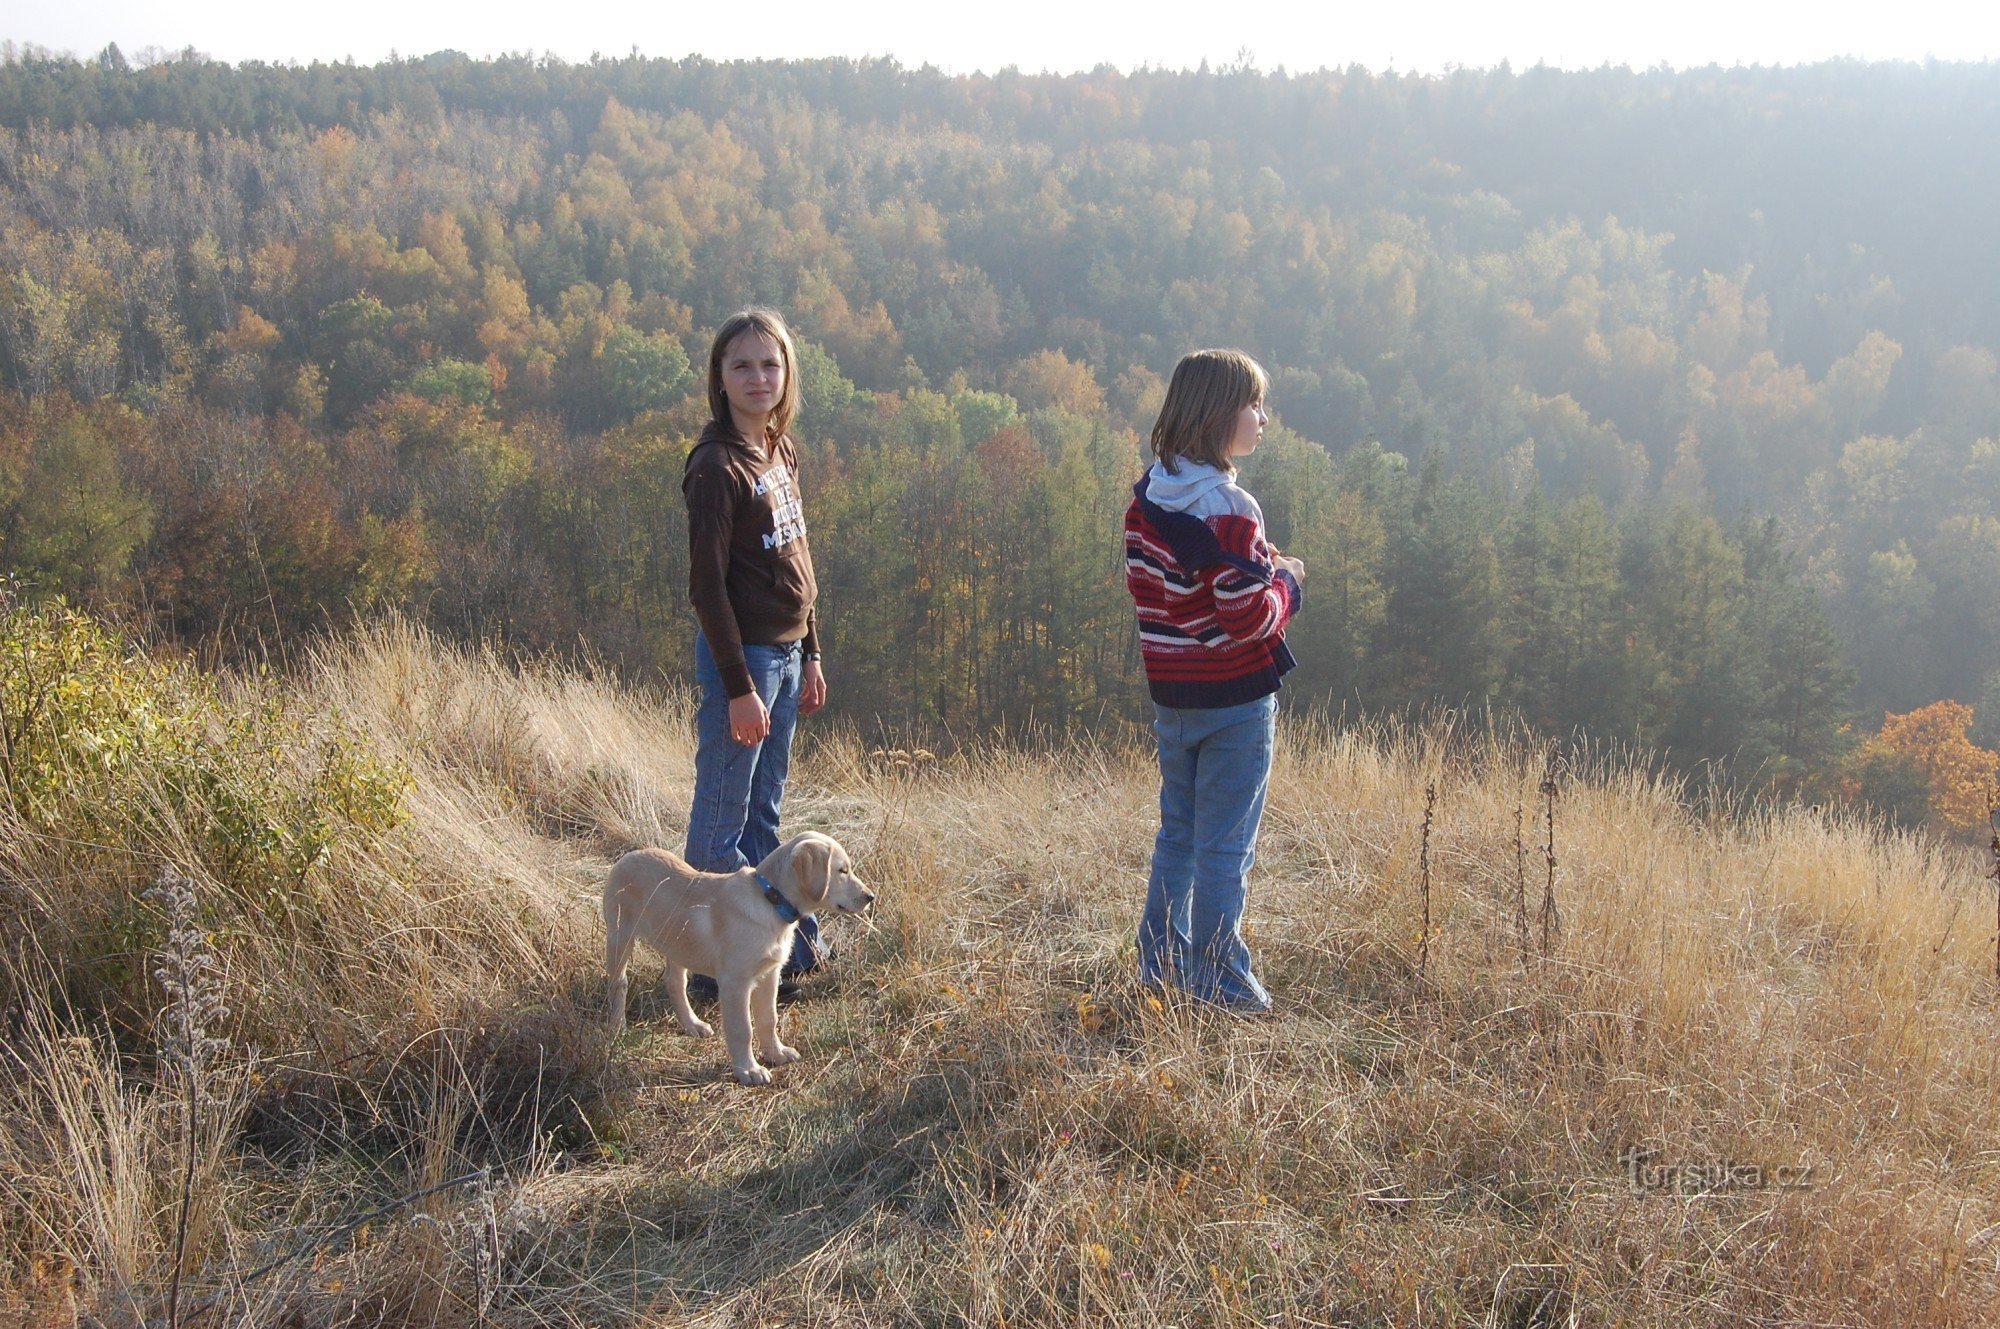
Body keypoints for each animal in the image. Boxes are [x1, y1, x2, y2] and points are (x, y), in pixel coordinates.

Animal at [596, 836, 872, 1088]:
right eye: (842, 870)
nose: (870, 896)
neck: (770, 901)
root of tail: (629, 856)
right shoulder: (735, 982)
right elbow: (742, 1029)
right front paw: (748, 1070)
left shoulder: (770, 974)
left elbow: (768, 1018)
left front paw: (776, 1053)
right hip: (620, 934)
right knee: (619, 983)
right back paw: (617, 1029)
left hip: (676, 944)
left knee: (675, 983)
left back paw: (692, 1024)